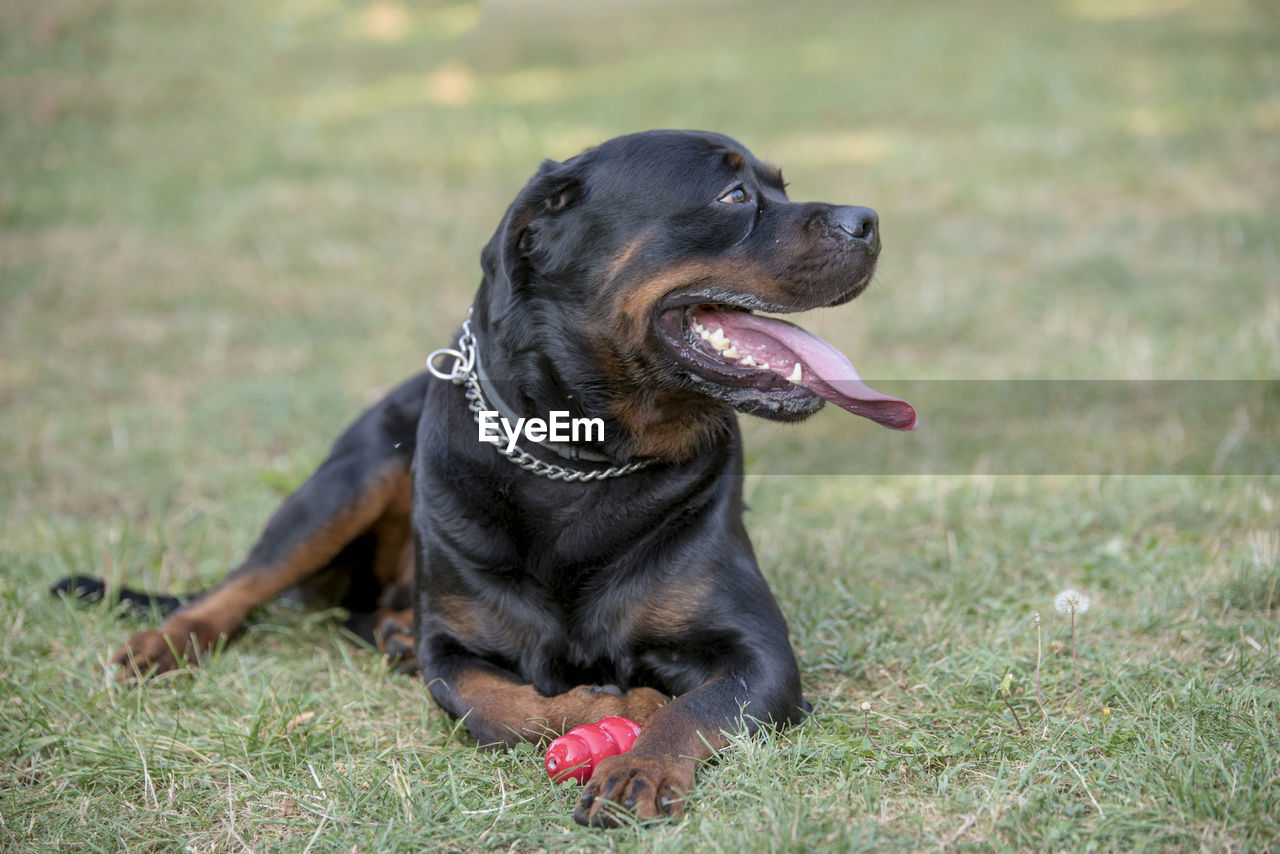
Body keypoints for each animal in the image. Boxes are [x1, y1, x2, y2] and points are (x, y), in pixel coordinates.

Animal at [64, 130, 916, 824]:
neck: (583, 459)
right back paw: (168, 642)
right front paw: (604, 703)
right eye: (733, 195)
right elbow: (493, 703)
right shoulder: (453, 654)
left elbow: (698, 708)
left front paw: (639, 762)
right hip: (353, 477)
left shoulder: (759, 654)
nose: (870, 220)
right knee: (247, 581)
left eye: (780, 184)